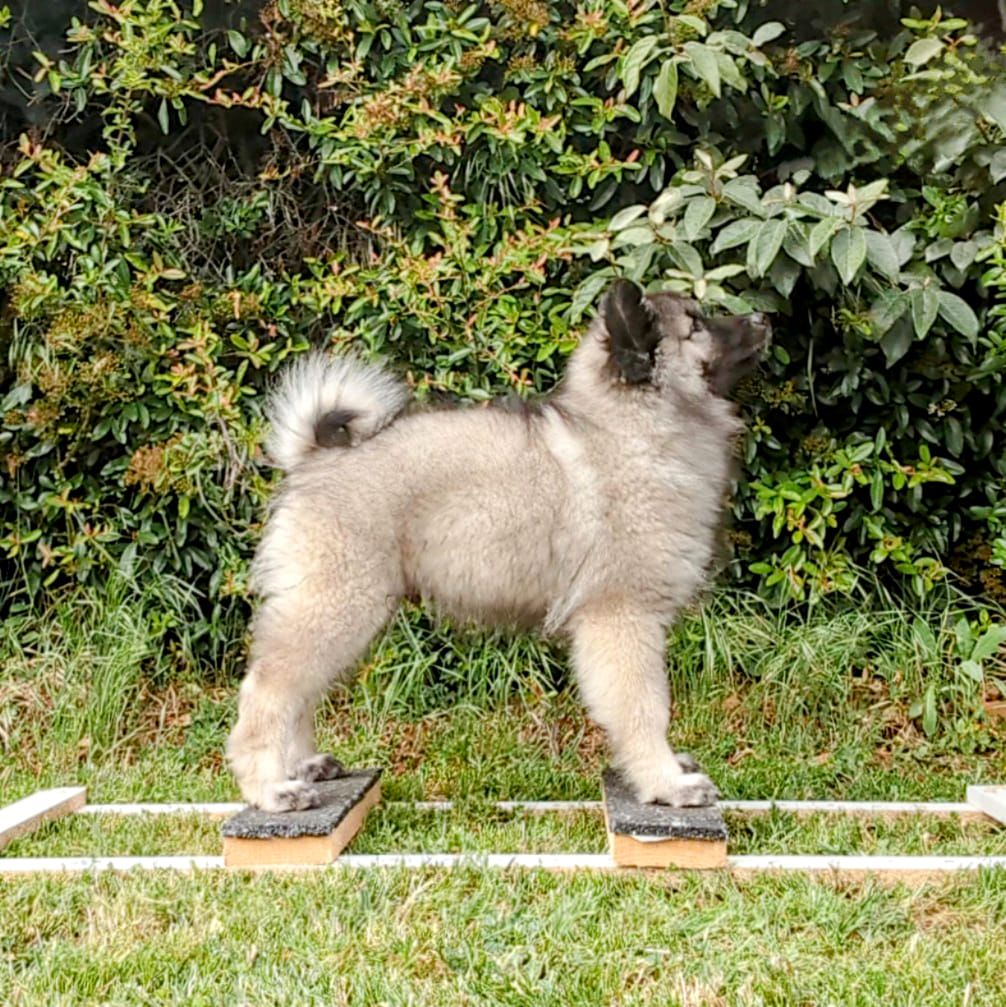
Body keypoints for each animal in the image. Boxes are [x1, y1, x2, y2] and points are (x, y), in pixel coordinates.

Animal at [228, 279, 769, 813]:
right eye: (696, 325)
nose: (763, 318)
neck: (633, 429)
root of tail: (312, 461)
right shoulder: (621, 617)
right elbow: (645, 707)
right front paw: (667, 782)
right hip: (337, 605)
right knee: (269, 688)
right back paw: (269, 789)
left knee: (300, 692)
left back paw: (303, 766)